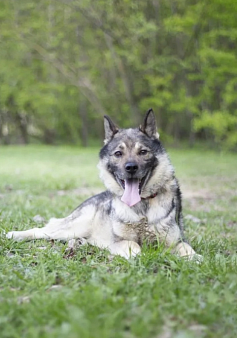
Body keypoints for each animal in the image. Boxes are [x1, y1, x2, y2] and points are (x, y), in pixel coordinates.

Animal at [6, 109, 202, 260]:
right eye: (118, 153)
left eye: (143, 152)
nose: (131, 167)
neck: (142, 210)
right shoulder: (119, 242)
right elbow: (134, 246)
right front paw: (140, 255)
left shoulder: (176, 241)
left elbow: (185, 247)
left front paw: (195, 257)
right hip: (73, 227)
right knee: (43, 230)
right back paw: (16, 235)